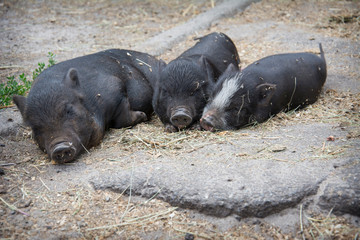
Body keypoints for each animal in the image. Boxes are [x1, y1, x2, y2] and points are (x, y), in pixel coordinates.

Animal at [13, 49, 165, 163]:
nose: (59, 146)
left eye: (69, 110)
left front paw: (143, 116)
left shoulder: (115, 88)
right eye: (34, 127)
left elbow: (122, 119)